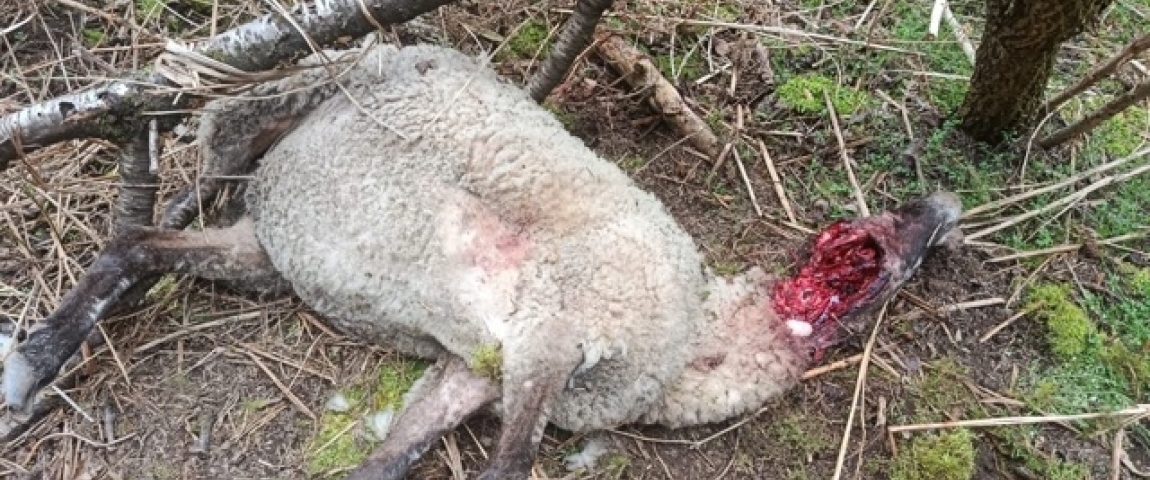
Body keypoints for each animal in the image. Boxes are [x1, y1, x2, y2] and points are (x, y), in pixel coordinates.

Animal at [2, 43, 963, 479]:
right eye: (885, 226)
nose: (946, 211)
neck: (694, 347)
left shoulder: (478, 371)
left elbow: (392, 459)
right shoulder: (552, 333)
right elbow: (510, 464)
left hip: (272, 247)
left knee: (134, 245)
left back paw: (33, 360)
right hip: (354, 103)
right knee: (240, 118)